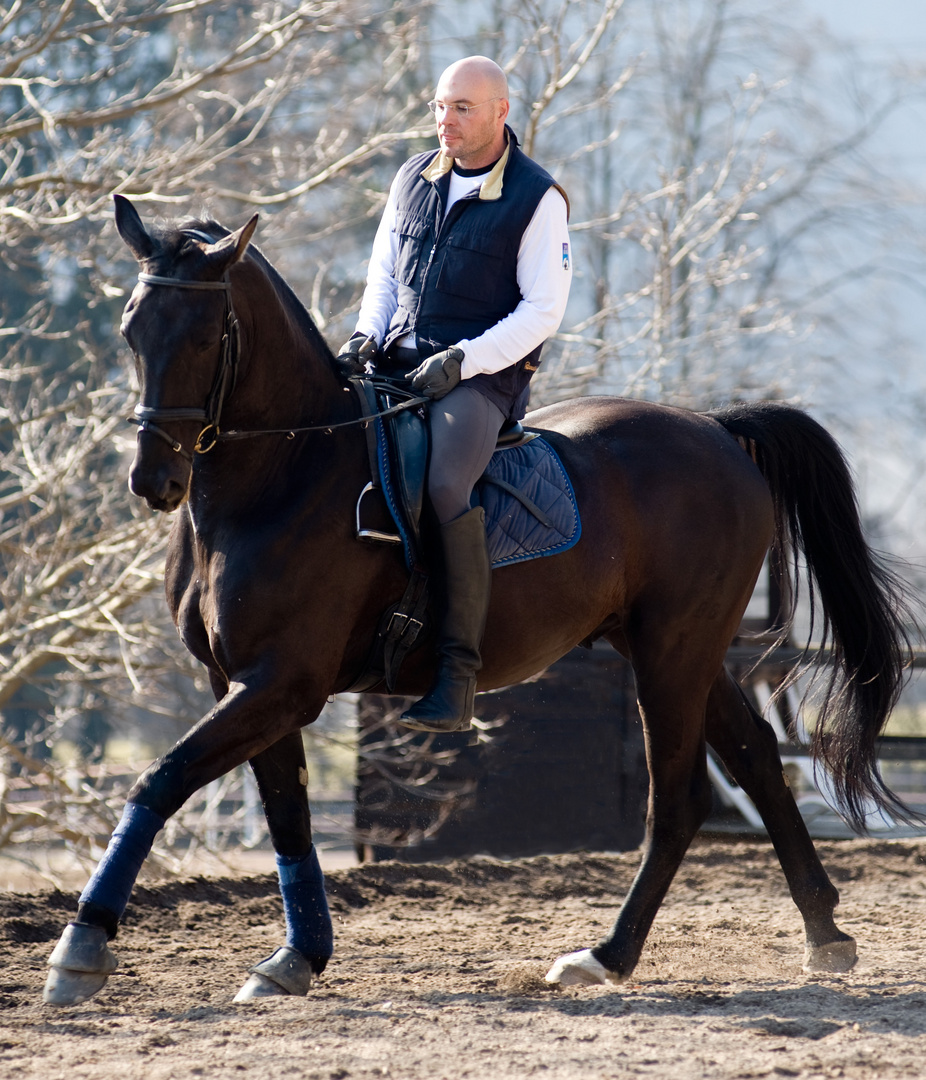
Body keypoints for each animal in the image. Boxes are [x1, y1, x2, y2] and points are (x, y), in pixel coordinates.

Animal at [43, 194, 911, 1002]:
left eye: (203, 335)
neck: (281, 480)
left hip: (674, 652)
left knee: (680, 799)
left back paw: (607, 955)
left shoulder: (281, 683)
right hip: (678, 649)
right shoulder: (243, 681)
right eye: (131, 330)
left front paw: (82, 947)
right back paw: (825, 934)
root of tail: (715, 428)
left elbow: (160, 779)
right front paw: (297, 958)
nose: (154, 481)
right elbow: (287, 814)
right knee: (758, 760)